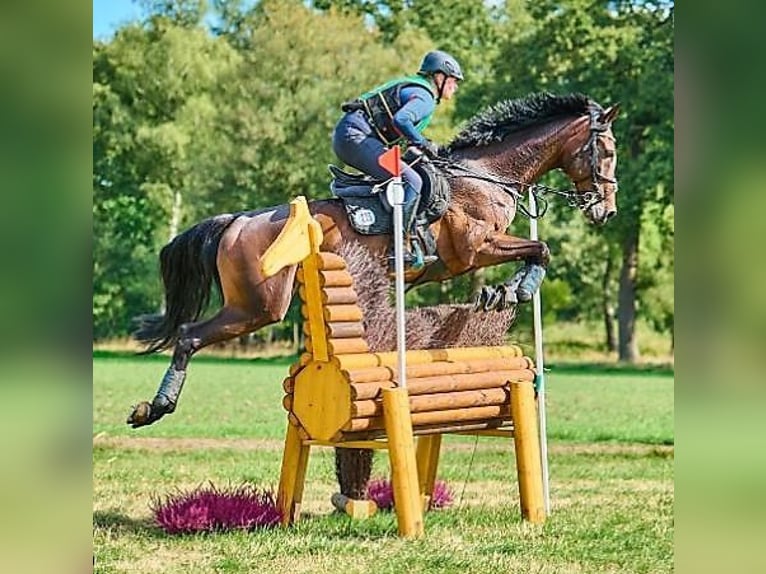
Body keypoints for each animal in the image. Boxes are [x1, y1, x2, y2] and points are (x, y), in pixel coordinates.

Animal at [126, 93, 616, 428]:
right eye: (607, 152)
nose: (606, 211)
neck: (486, 175)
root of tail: (239, 222)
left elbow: (536, 252)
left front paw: (503, 292)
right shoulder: (475, 248)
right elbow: (541, 250)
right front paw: (515, 289)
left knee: (188, 334)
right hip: (258, 305)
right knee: (188, 335)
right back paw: (155, 408)